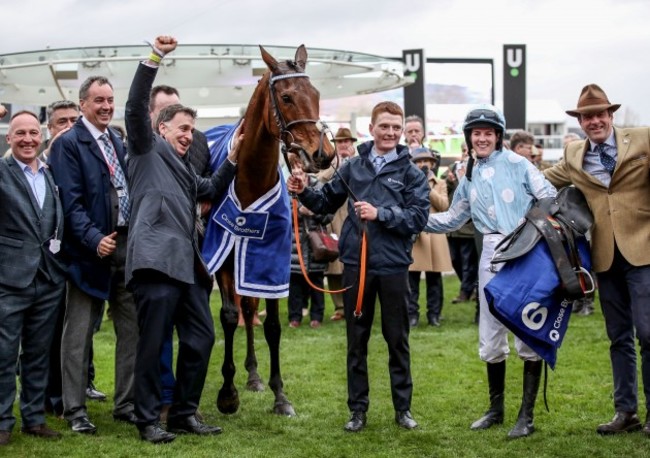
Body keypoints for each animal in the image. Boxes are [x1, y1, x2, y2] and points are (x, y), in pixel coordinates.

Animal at [204, 44, 334, 416]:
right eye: (287, 96)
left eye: (316, 93)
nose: (322, 154)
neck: (249, 178)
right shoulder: (223, 253)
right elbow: (229, 315)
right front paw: (227, 393)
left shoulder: (272, 259)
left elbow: (272, 325)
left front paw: (279, 395)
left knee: (251, 310)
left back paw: (253, 375)